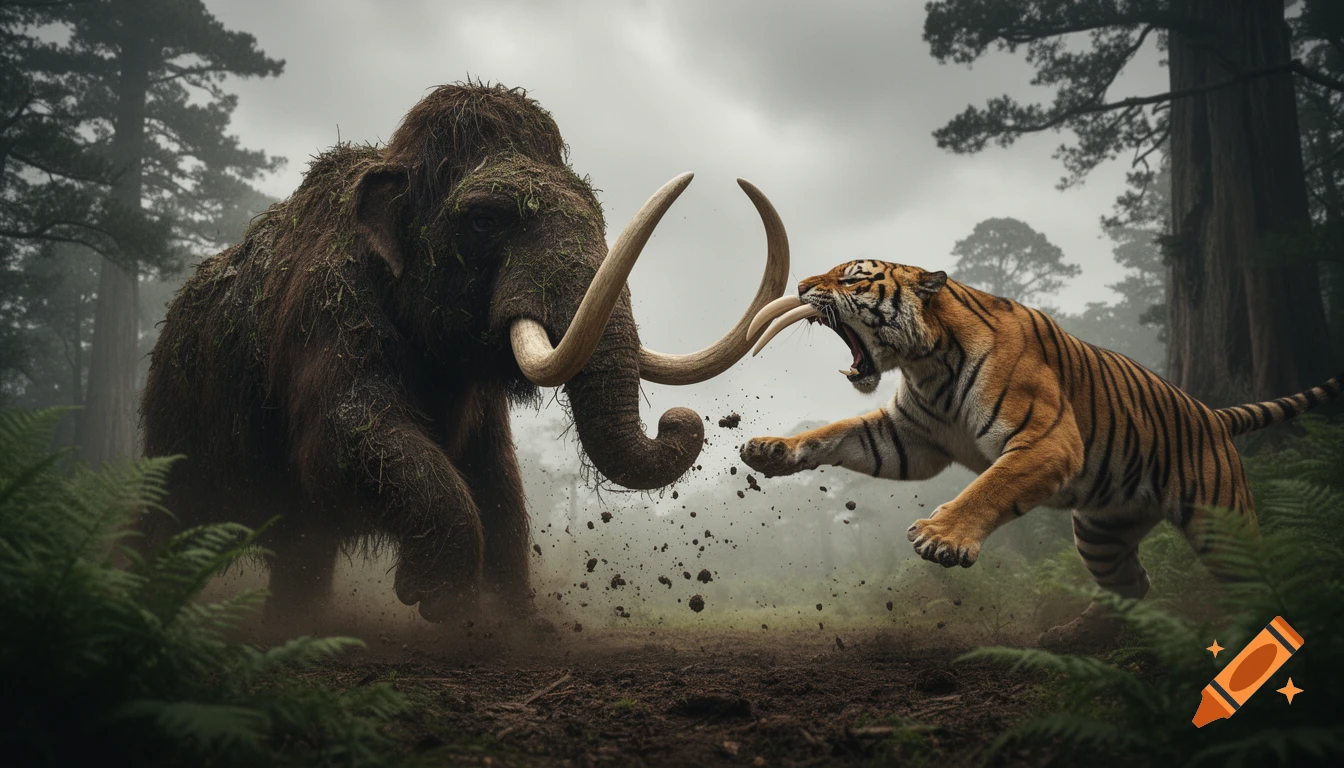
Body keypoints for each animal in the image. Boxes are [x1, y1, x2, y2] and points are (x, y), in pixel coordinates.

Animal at [740, 259, 1343, 647]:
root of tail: (1213, 414)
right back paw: (1076, 637)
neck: (927, 360)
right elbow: (838, 432)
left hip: (1220, 522)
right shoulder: (908, 439)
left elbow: (990, 485)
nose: (799, 285)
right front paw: (772, 449)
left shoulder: (1048, 440)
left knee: (1257, 575)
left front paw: (942, 537)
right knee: (1134, 582)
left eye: (851, 277)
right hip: (1101, 529)